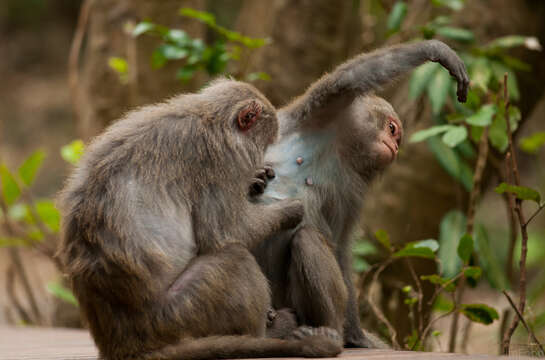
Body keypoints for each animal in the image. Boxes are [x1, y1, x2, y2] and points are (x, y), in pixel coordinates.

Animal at [57, 79, 342, 360]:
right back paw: (266, 332)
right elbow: (227, 232)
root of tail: (125, 344)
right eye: (265, 143)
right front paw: (290, 209)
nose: (261, 160)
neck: (209, 117)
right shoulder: (218, 160)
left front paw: (256, 180)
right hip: (179, 314)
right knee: (236, 258)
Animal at [251, 39, 468, 348]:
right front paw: (435, 50)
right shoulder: (319, 107)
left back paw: (324, 332)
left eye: (397, 137)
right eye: (392, 129)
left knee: (307, 239)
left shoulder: (351, 189)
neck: (337, 147)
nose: (396, 147)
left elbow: (340, 247)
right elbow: (352, 77)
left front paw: (356, 336)